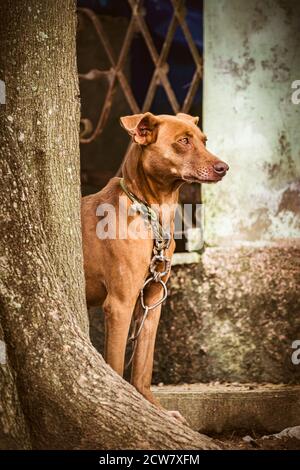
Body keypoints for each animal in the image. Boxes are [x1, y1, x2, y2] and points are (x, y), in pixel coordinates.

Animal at [81, 112, 229, 420]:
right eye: (183, 141)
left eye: (204, 140)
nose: (224, 167)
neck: (151, 214)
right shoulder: (120, 304)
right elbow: (116, 365)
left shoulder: (152, 302)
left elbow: (142, 367)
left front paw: (154, 409)